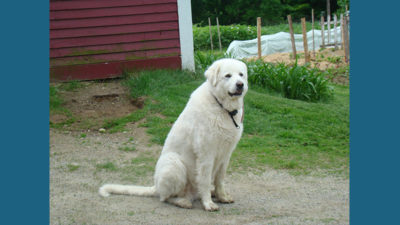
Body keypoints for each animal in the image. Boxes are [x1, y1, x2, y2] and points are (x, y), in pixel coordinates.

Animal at [100, 58, 247, 211]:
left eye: (241, 75)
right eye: (228, 75)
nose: (240, 85)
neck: (222, 107)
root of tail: (156, 186)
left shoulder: (226, 154)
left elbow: (220, 180)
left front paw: (222, 197)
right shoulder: (206, 153)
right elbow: (205, 180)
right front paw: (208, 203)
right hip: (173, 164)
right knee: (165, 197)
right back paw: (183, 201)